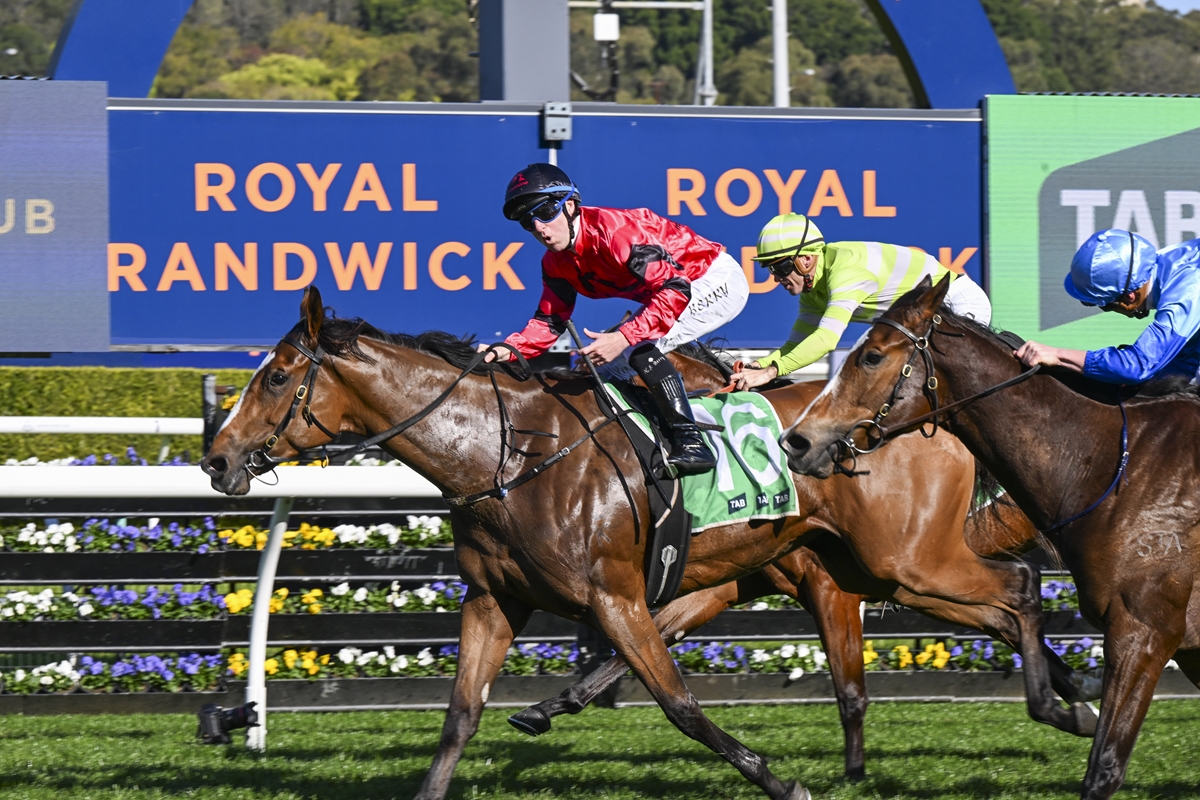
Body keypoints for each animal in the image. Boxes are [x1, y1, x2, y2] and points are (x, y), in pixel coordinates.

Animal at [202, 286, 1096, 800]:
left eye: (277, 377)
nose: (215, 458)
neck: (506, 453)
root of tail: (932, 419)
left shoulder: (615, 595)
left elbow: (680, 704)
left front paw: (779, 781)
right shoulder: (494, 601)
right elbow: (457, 721)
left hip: (905, 561)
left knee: (1017, 587)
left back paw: (1065, 704)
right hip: (865, 568)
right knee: (997, 604)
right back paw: (1073, 698)